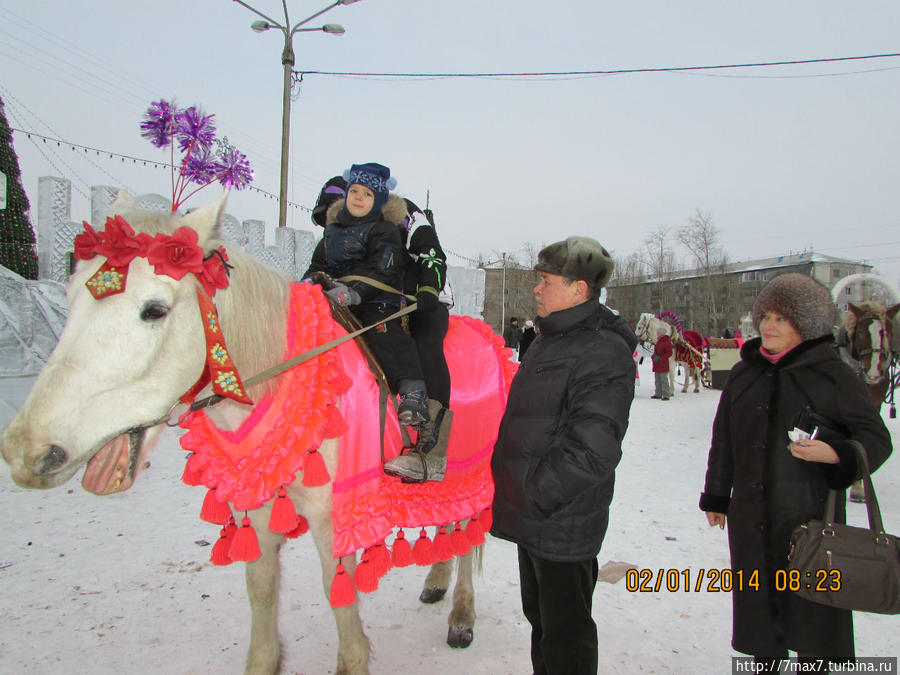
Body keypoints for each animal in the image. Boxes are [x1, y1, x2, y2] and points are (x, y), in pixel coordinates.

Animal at [0, 191, 506, 675]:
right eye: (70, 297)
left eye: (154, 310)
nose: (26, 450)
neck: (287, 372)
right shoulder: (261, 511)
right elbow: (261, 592)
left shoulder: (334, 519)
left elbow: (339, 602)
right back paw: (436, 582)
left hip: (476, 471)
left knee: (469, 537)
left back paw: (461, 616)